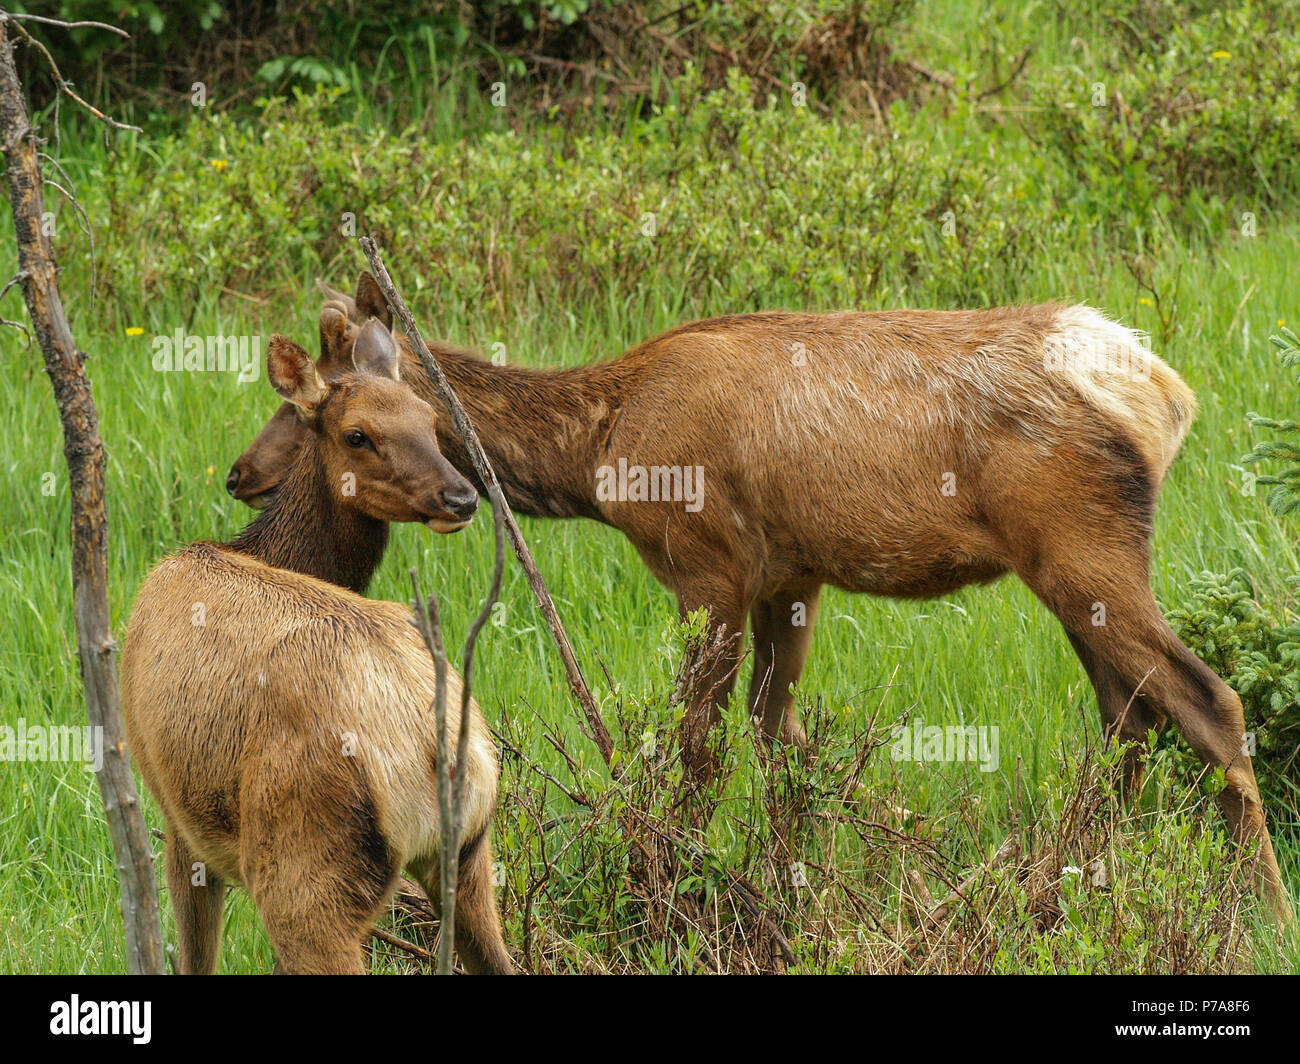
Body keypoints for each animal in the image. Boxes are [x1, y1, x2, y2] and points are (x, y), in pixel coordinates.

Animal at [119, 313, 509, 967]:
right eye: (357, 434)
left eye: (430, 422)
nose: (461, 497)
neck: (256, 550)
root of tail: (433, 753)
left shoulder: (176, 814)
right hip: (473, 856)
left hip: (303, 868)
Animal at [228, 278, 1294, 915]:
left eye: (319, 409)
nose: (240, 473)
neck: (597, 448)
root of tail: (1167, 393)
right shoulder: (792, 579)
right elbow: (781, 745)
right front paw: (796, 889)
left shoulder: (707, 567)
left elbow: (696, 755)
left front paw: (667, 892)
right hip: (1072, 575)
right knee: (1128, 718)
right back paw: (1080, 885)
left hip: (1084, 548)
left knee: (1208, 702)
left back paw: (1264, 908)